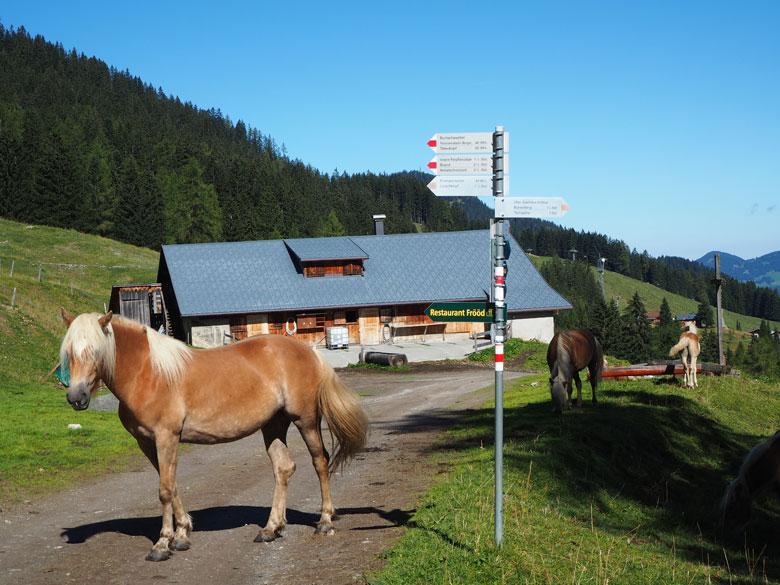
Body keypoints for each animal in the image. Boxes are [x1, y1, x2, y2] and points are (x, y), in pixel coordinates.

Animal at [58, 310, 368, 560]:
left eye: (95, 352)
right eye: (69, 353)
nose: (76, 397)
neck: (149, 373)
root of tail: (309, 351)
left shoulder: (166, 437)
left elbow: (164, 490)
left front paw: (162, 544)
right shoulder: (148, 442)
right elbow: (171, 486)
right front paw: (182, 534)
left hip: (306, 421)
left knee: (320, 462)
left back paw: (325, 521)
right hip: (274, 425)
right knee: (283, 469)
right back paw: (271, 528)